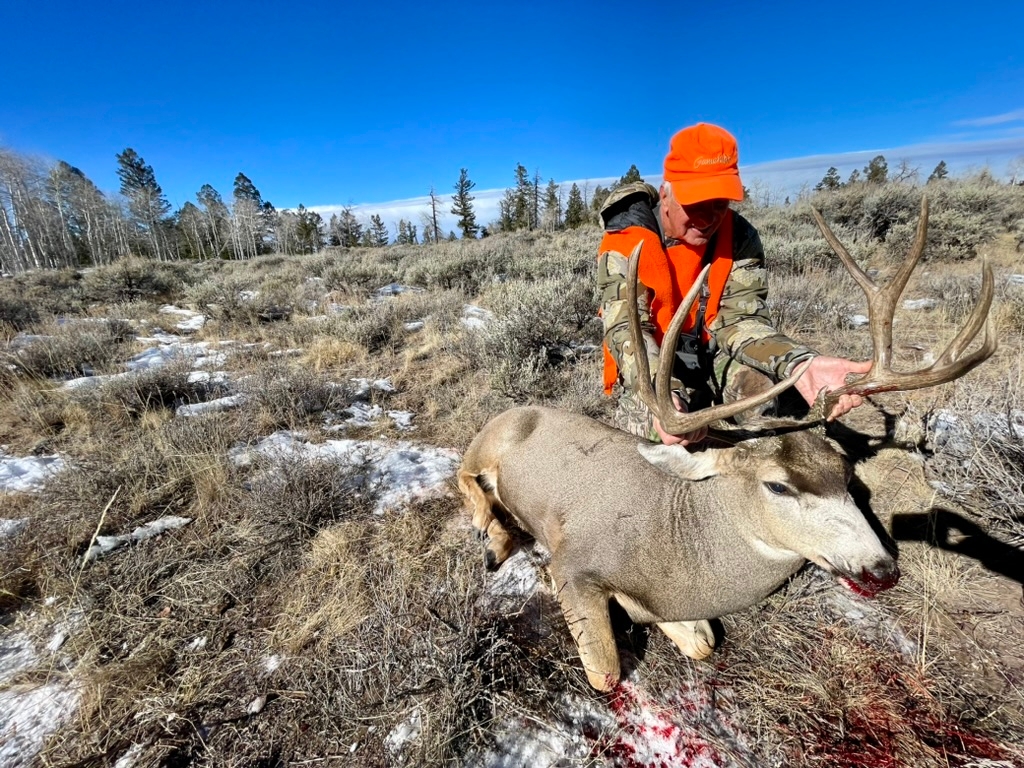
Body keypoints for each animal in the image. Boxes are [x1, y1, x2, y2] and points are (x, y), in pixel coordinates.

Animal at [457, 198, 996, 691]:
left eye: (846, 474)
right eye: (777, 486)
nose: (882, 569)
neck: (675, 542)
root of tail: (513, 409)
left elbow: (702, 641)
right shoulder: (576, 563)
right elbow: (606, 673)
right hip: (488, 442)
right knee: (468, 478)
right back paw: (496, 539)